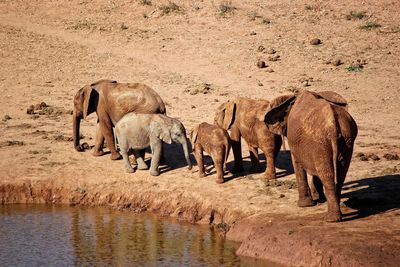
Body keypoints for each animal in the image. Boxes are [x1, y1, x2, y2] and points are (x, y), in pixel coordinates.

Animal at [264, 91, 358, 223]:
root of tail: (333, 125)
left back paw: (332, 219)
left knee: (327, 175)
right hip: (346, 140)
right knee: (340, 173)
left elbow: (297, 164)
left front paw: (304, 205)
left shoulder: (297, 143)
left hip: (321, 142)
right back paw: (336, 212)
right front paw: (319, 199)